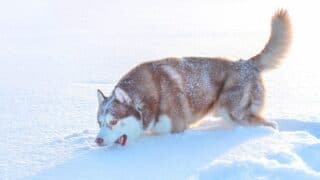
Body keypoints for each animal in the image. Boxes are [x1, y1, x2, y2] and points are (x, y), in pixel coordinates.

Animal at [94, 10, 290, 146]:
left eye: (113, 121)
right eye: (100, 123)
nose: (98, 140)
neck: (152, 97)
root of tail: (247, 63)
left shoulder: (177, 129)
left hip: (233, 113)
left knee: (271, 124)